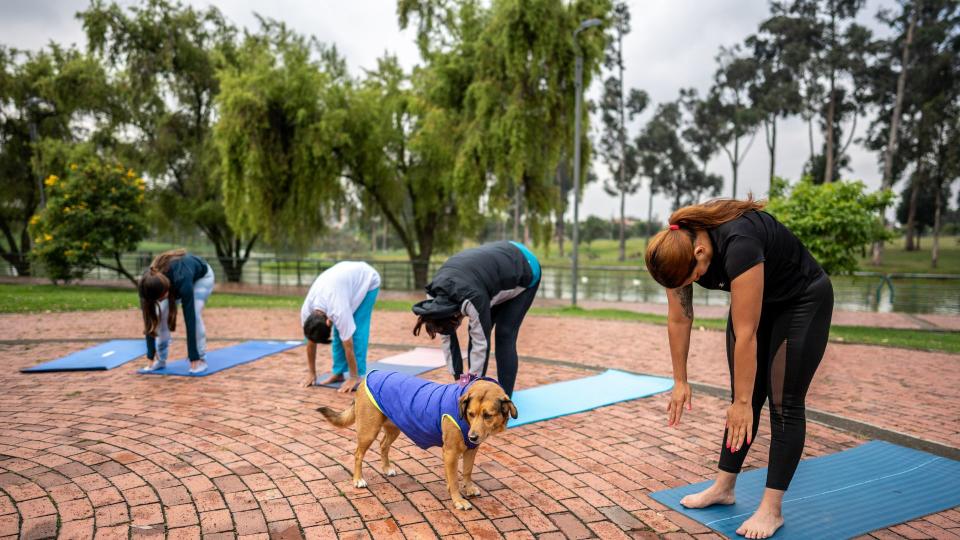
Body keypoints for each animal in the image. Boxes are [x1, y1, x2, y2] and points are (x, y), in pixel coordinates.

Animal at [318, 372, 516, 510]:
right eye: (471, 414)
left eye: (487, 415)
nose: (472, 437)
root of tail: (367, 377)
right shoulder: (451, 452)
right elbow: (454, 480)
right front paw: (458, 500)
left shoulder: (470, 450)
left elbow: (467, 472)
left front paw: (468, 488)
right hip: (368, 431)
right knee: (358, 454)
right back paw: (358, 480)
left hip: (395, 427)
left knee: (383, 446)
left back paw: (386, 468)